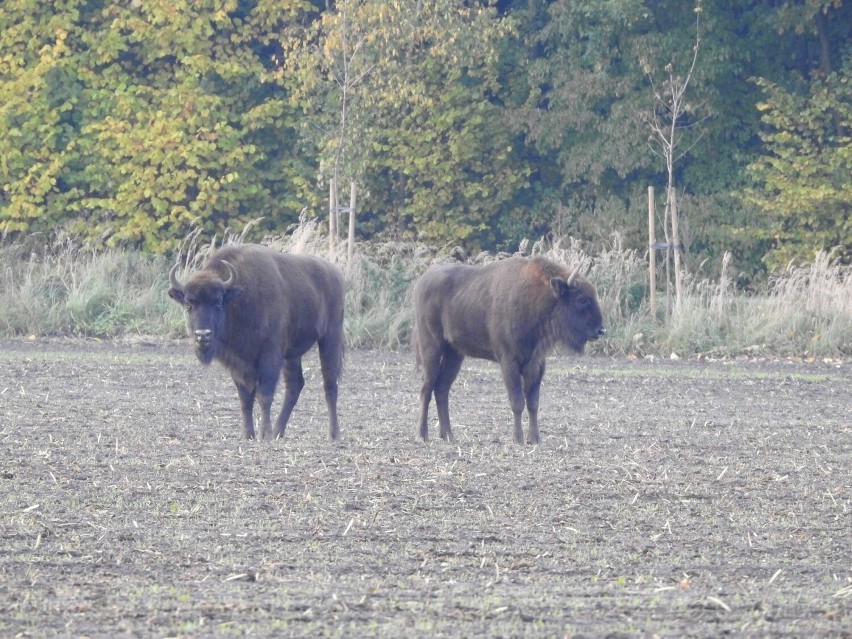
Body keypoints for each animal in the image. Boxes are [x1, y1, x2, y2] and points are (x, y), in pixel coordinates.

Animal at [168, 242, 344, 442]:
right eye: (188, 304)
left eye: (218, 302)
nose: (202, 335)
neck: (239, 299)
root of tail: (335, 274)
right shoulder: (237, 363)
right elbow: (245, 398)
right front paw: (247, 434)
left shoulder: (270, 356)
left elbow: (264, 395)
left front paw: (264, 434)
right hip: (292, 355)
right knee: (295, 385)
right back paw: (278, 432)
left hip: (330, 338)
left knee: (330, 385)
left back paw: (333, 435)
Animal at [414, 255, 604, 444]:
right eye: (581, 299)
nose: (601, 330)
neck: (536, 298)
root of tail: (422, 281)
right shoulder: (509, 362)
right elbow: (517, 401)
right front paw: (518, 438)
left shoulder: (536, 364)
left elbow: (533, 403)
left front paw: (534, 439)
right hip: (431, 347)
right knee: (427, 388)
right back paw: (422, 435)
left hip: (454, 354)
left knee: (441, 388)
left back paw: (449, 435)